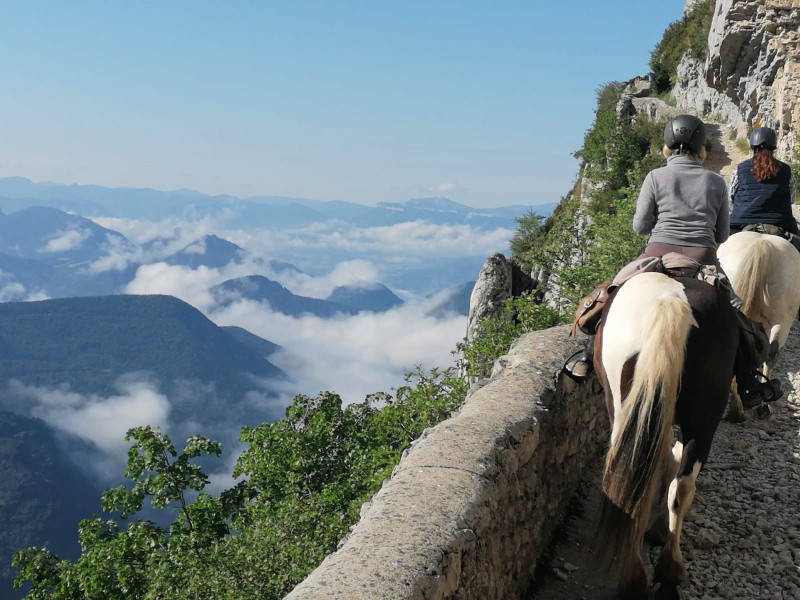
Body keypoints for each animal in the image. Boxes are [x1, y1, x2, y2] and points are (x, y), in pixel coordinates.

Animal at [592, 274, 736, 600]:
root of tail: (670, 299)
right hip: (703, 417)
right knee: (681, 484)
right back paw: (666, 572)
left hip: (625, 410)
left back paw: (639, 578)